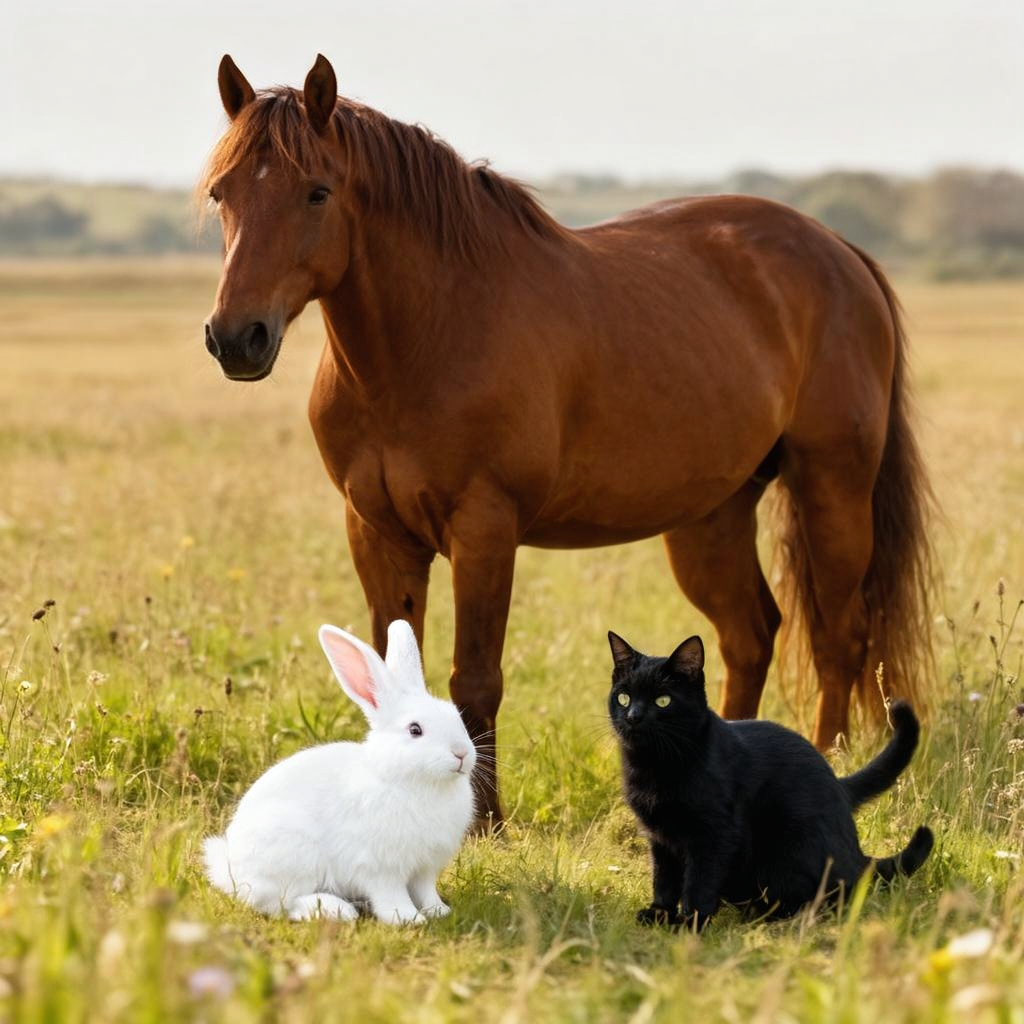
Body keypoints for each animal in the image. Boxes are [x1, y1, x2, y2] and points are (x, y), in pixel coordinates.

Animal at [202, 54, 934, 829]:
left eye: (317, 192)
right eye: (222, 193)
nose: (236, 338)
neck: (431, 334)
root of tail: (840, 251)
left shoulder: (485, 529)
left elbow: (475, 678)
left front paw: (485, 824)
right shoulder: (375, 532)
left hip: (833, 487)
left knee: (837, 637)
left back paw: (829, 763)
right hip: (712, 517)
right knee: (749, 635)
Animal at [203, 619, 476, 924]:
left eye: (455, 715)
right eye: (415, 730)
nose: (461, 753)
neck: (410, 782)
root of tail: (232, 873)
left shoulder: (425, 869)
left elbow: (426, 891)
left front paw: (439, 911)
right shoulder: (380, 867)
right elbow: (391, 895)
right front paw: (407, 919)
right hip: (294, 856)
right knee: (281, 904)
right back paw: (337, 909)